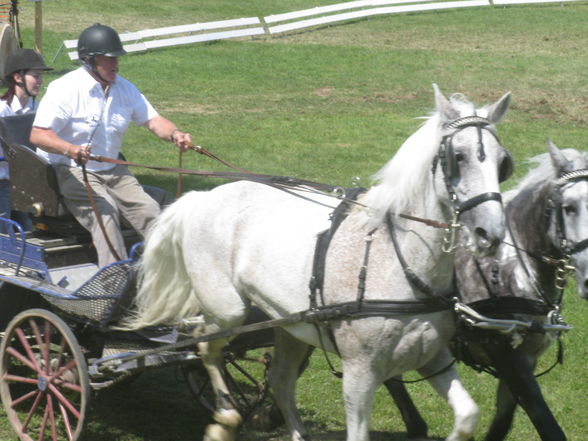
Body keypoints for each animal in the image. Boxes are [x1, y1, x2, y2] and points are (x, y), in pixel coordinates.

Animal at [124, 85, 510, 440]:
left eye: (502, 162)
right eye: (457, 156)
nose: (490, 232)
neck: (396, 259)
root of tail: (202, 197)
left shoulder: (433, 356)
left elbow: (467, 417)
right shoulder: (359, 371)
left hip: (288, 324)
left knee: (280, 380)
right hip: (227, 310)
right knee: (205, 344)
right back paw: (226, 418)